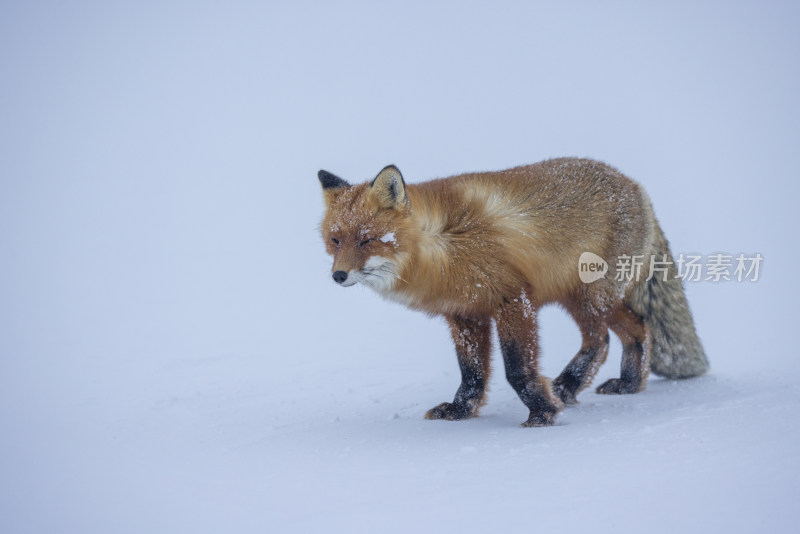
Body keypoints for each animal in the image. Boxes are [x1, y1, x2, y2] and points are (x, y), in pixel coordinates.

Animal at [318, 159, 708, 428]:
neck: (442, 244)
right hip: (579, 298)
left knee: (620, 333)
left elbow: (517, 369)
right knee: (619, 334)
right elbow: (472, 372)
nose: (338, 275)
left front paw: (542, 413)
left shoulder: (512, 301)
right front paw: (461, 410)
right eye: (336, 240)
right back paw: (603, 385)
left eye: (367, 240)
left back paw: (594, 386)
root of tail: (636, 187)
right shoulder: (465, 313)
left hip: (591, 297)